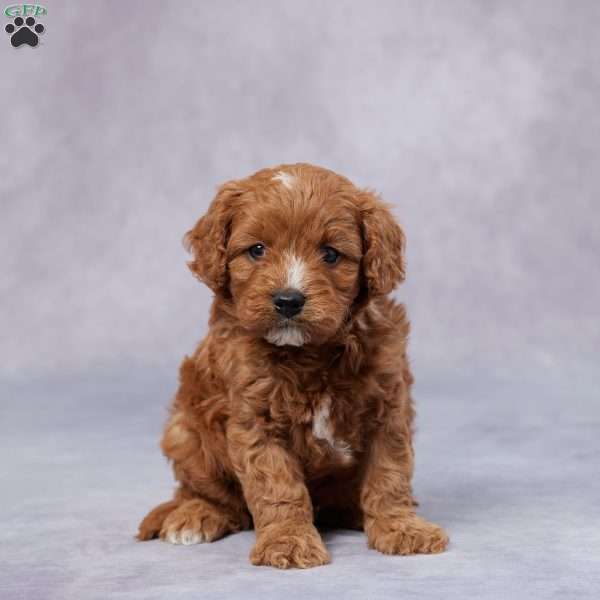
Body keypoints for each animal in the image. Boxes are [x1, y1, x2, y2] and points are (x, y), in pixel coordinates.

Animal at [138, 163, 448, 568]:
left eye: (330, 254)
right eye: (256, 250)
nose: (288, 300)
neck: (309, 352)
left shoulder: (388, 406)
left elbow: (389, 473)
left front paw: (401, 526)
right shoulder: (256, 420)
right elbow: (277, 486)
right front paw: (287, 540)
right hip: (185, 433)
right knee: (212, 496)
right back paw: (196, 515)